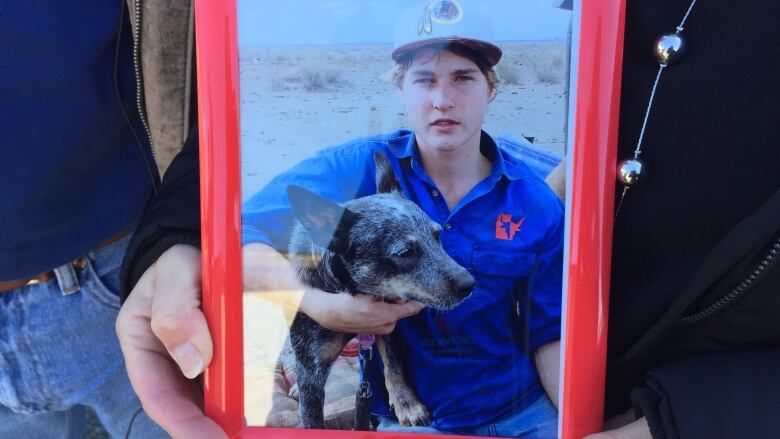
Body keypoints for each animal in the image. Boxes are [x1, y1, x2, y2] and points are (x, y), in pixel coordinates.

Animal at [284, 152, 472, 430]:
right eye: (405, 252)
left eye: (437, 236)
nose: (469, 284)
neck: (349, 289)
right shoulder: (312, 371)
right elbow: (311, 415)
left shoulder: (386, 323)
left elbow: (393, 365)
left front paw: (406, 403)